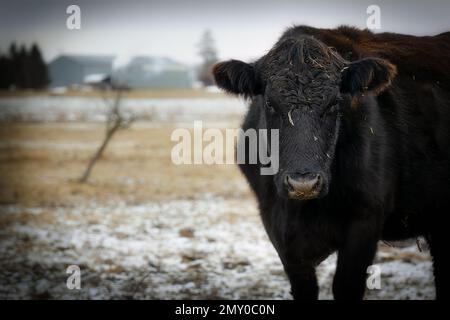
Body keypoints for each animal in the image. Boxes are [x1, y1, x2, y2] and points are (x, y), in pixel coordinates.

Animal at [213, 25, 450, 300]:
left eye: (334, 103)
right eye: (270, 103)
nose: (303, 184)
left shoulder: (365, 221)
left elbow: (346, 285)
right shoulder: (278, 228)